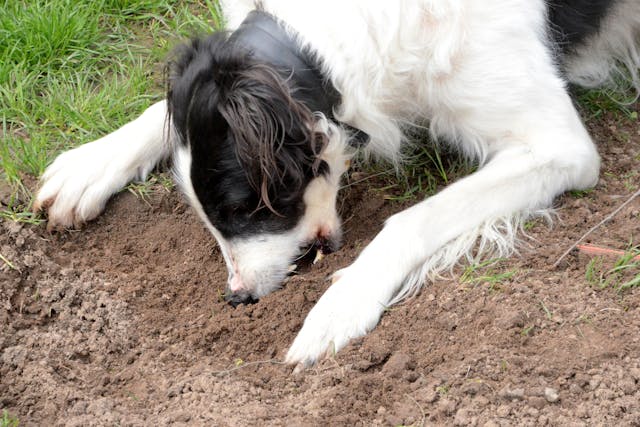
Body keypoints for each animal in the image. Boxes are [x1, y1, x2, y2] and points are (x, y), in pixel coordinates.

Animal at [35, 0, 640, 368]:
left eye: (241, 208)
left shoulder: (558, 145)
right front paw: (90, 164)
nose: (238, 298)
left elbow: (410, 219)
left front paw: (338, 305)